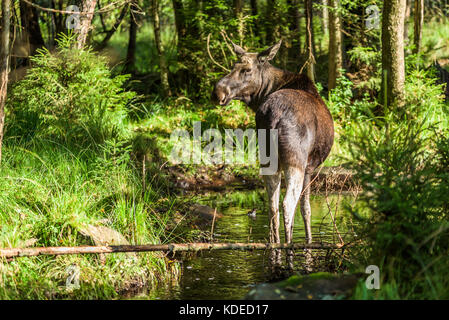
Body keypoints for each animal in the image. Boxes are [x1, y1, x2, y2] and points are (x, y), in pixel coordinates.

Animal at [212, 41, 334, 268]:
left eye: (246, 69)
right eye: (234, 66)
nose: (217, 92)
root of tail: (272, 114)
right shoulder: (310, 168)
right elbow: (306, 209)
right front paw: (309, 245)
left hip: (267, 160)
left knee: (271, 205)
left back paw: (275, 250)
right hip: (294, 161)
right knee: (287, 204)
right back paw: (289, 251)